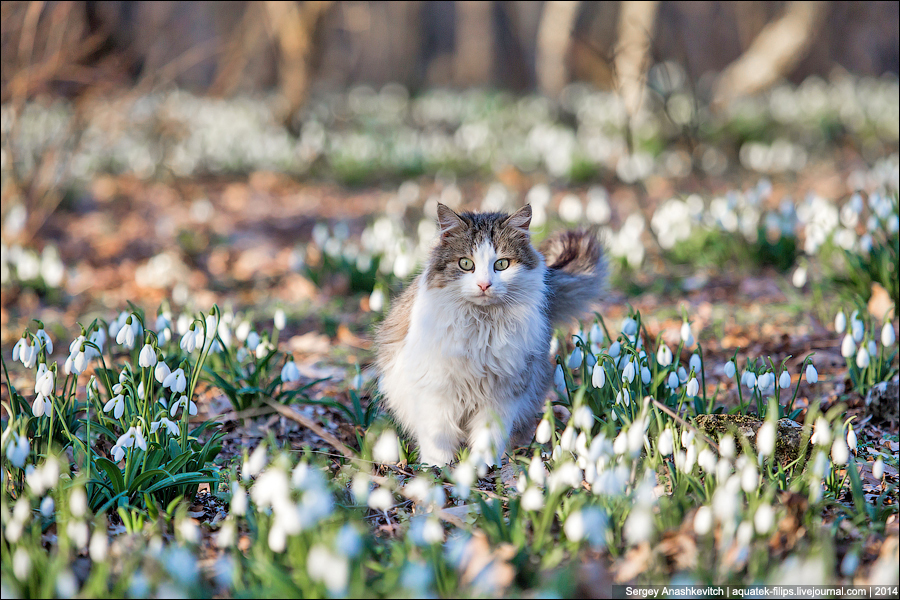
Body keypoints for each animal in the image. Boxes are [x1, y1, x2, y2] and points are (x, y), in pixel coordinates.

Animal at [372, 204, 604, 466]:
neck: (481, 326)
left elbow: (488, 438)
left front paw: (483, 467)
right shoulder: (436, 392)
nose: (484, 285)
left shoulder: (500, 397)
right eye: (465, 264)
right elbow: (438, 440)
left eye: (501, 264)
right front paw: (437, 467)